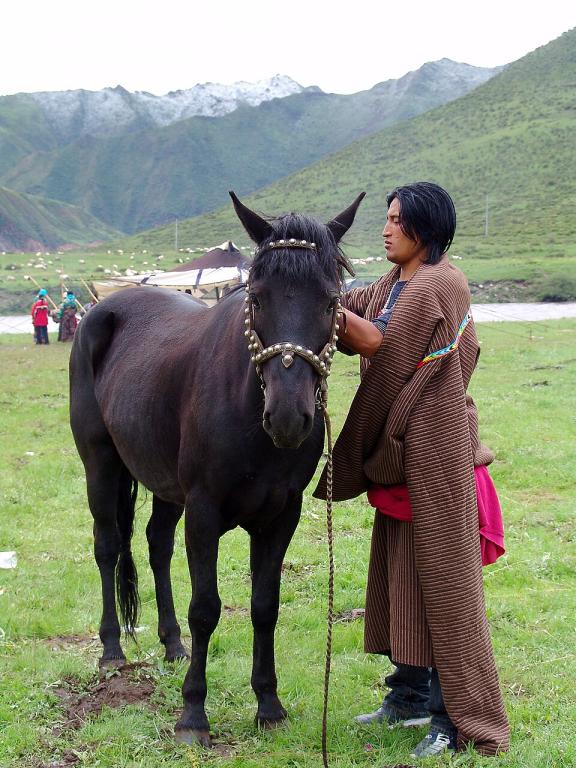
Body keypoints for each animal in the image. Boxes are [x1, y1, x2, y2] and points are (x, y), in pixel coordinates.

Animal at [69, 191, 365, 746]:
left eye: (331, 301)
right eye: (257, 298)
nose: (289, 416)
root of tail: (105, 308)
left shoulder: (280, 516)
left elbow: (265, 606)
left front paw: (268, 705)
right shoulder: (204, 511)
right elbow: (205, 608)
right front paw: (193, 713)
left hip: (166, 486)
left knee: (156, 543)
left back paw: (171, 643)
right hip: (100, 463)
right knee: (107, 545)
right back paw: (112, 649)